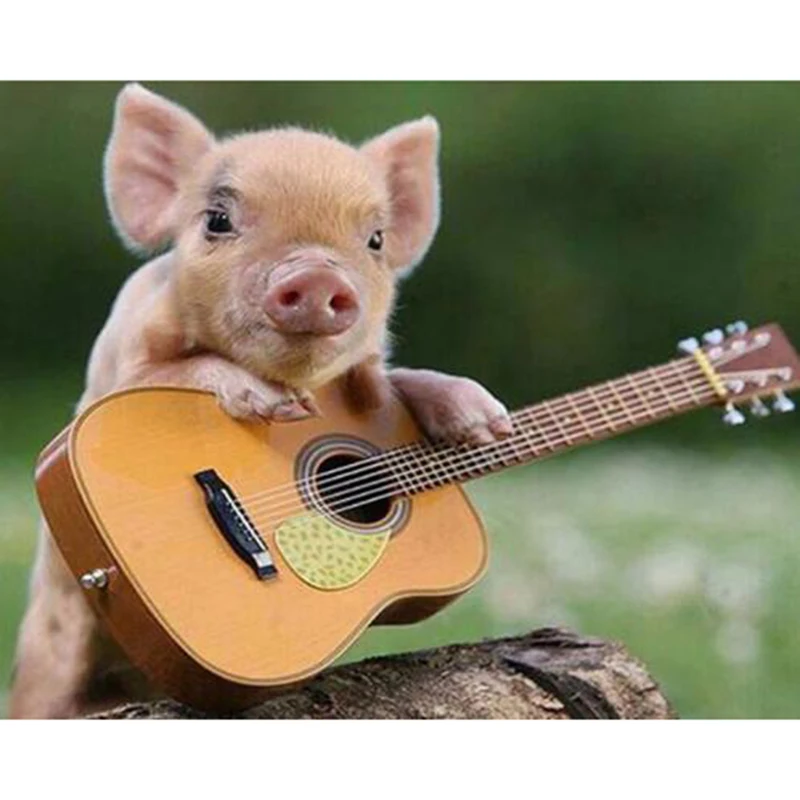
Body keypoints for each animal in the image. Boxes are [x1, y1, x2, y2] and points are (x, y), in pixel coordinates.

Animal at [8, 84, 513, 719]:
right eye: (218, 220)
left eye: (375, 240)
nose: (319, 275)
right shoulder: (121, 368)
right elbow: (187, 369)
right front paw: (272, 403)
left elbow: (394, 381)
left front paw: (485, 421)